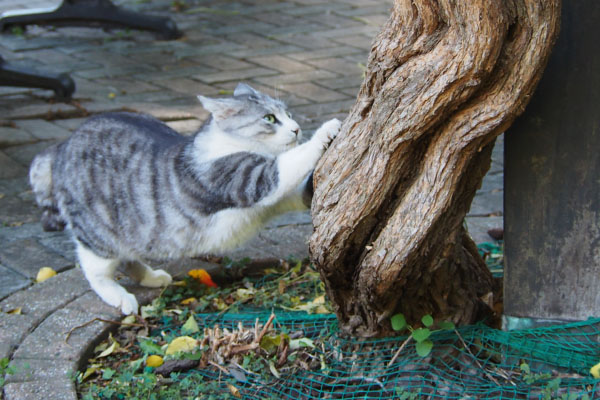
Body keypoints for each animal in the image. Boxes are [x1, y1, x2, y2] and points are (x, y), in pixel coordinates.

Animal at [30, 83, 340, 316]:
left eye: (287, 113)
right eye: (269, 119)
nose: (297, 128)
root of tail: (62, 146)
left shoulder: (274, 201)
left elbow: (299, 192)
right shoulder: (247, 179)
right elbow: (286, 165)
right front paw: (325, 130)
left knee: (129, 257)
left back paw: (152, 277)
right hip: (98, 231)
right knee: (95, 266)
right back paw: (119, 296)